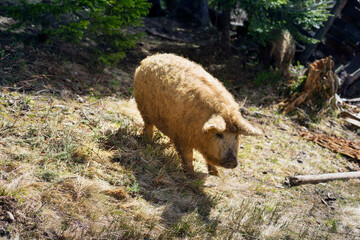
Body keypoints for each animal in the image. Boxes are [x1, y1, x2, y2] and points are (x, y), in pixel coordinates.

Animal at [134, 53, 262, 175]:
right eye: (219, 134)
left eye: (236, 136)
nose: (232, 162)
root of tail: (150, 58)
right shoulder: (182, 137)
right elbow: (187, 156)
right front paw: (192, 175)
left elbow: (207, 159)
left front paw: (216, 174)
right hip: (143, 107)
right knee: (148, 125)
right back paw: (147, 141)